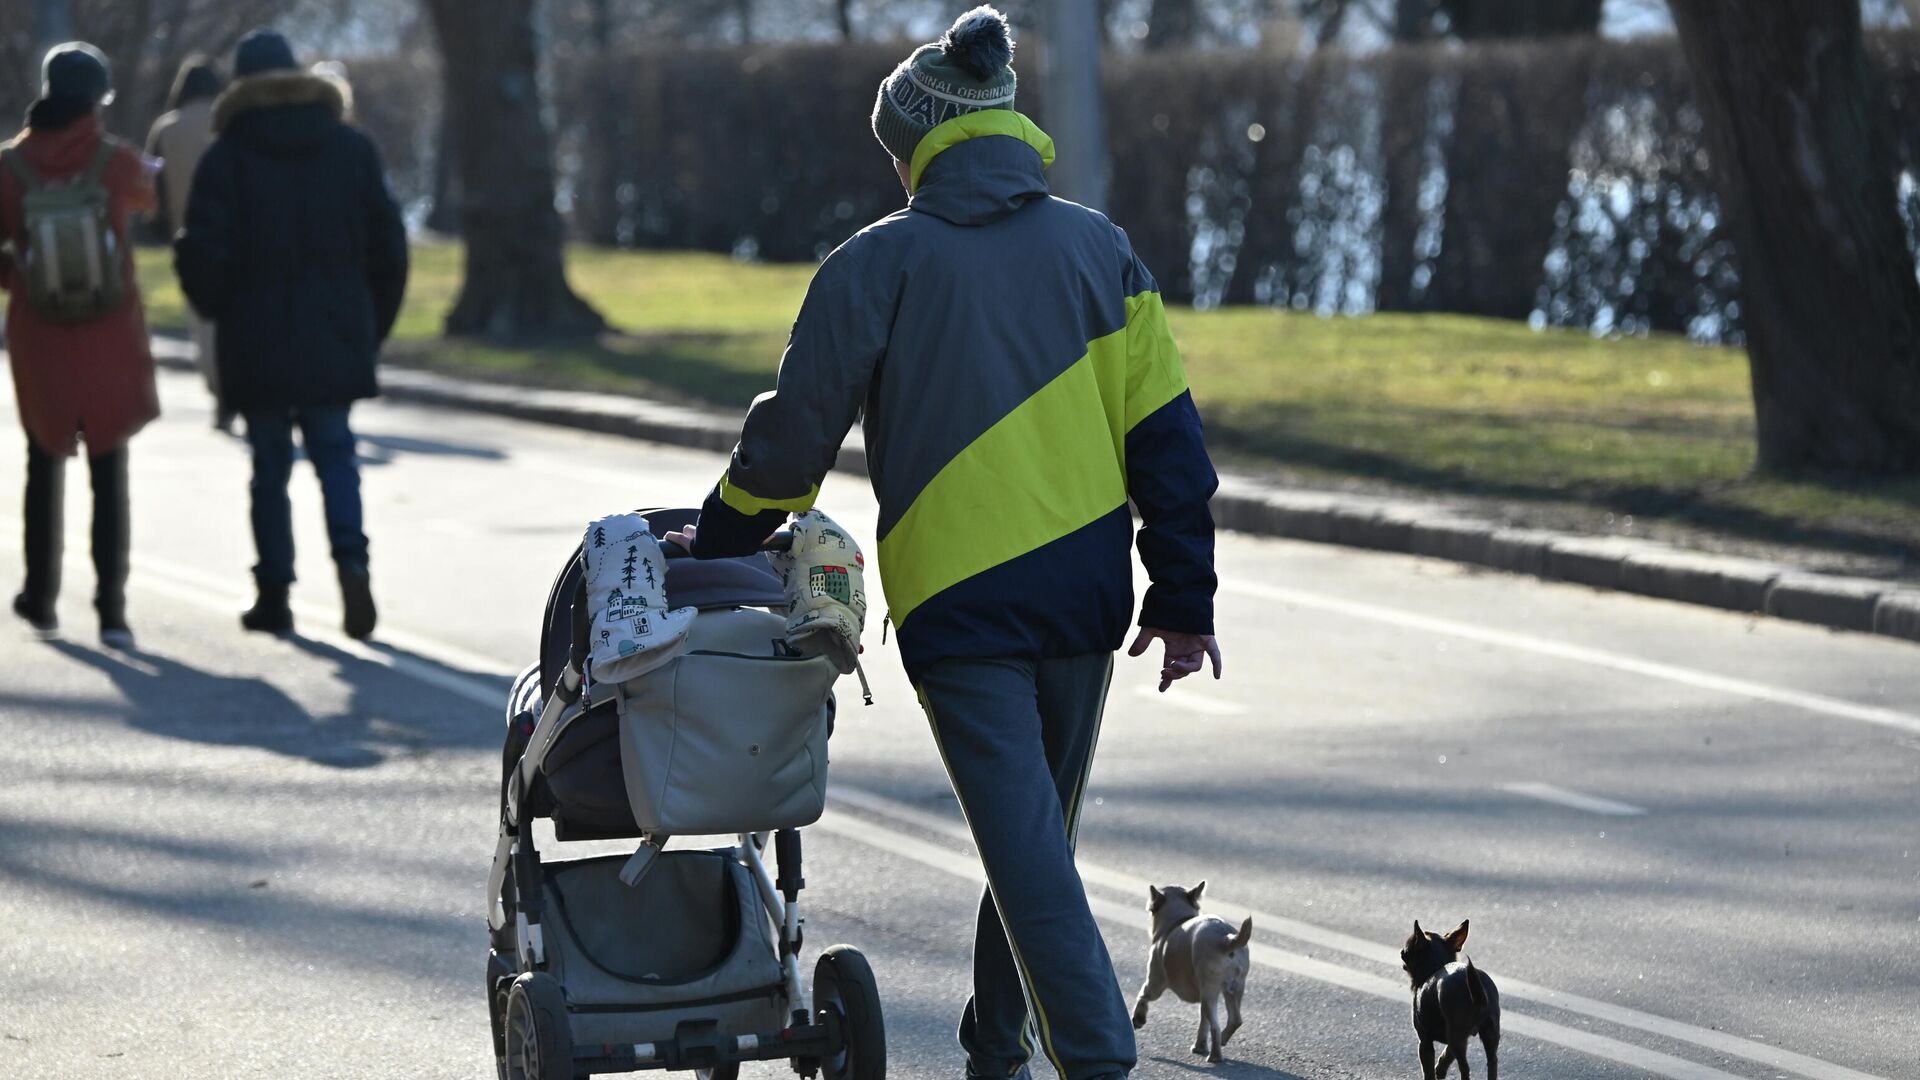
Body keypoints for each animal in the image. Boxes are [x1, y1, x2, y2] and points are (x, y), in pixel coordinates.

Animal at [1397, 914, 1497, 1076]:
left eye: (1404, 952)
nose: (1400, 951)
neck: (1435, 967)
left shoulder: (1425, 1042)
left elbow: (1428, 1072)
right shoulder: (1456, 1040)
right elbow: (1445, 1057)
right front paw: (1440, 1070)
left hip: (1457, 1037)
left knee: (1465, 1068)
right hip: (1489, 1034)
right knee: (1492, 1062)